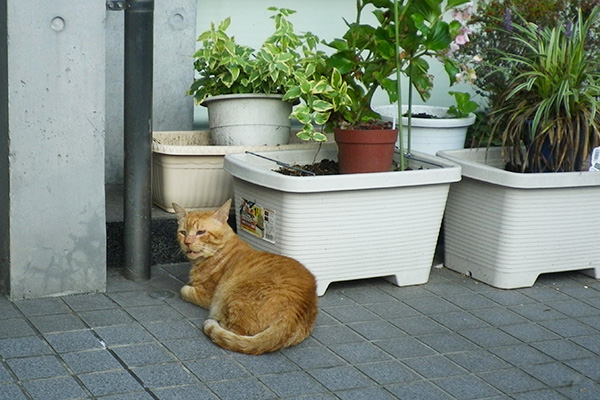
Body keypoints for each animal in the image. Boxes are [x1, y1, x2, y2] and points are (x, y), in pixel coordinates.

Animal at [172, 202, 318, 354]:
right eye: (183, 232)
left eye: (201, 232)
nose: (187, 242)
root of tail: (298, 308)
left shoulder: (205, 295)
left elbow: (183, 290)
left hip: (233, 295)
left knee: (235, 332)